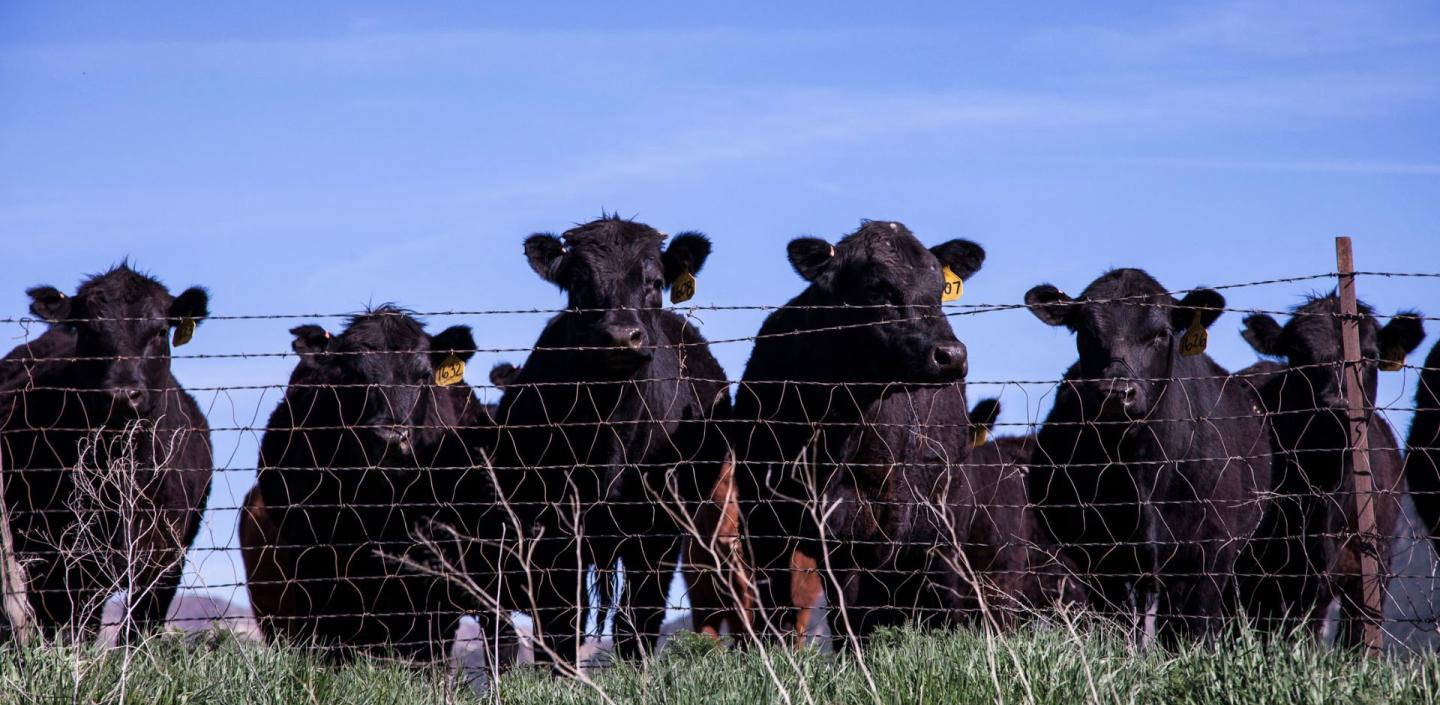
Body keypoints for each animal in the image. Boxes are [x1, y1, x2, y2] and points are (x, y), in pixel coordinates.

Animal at [0, 263, 212, 643]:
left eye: (161, 330)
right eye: (89, 330)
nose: (122, 393)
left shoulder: (165, 561)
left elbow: (139, 629)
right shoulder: (60, 561)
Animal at [487, 215, 731, 666]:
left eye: (655, 281)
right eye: (579, 283)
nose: (620, 336)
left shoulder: (656, 530)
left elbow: (639, 617)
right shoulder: (556, 528)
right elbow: (562, 619)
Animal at [729, 219, 1065, 643]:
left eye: (939, 288)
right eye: (877, 287)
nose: (951, 355)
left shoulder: (864, 532)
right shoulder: (763, 519)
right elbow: (778, 613)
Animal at [1023, 268, 1272, 642]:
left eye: (1161, 333)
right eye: (1086, 332)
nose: (1116, 392)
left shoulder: (1214, 548)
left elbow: (1199, 625)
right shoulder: (1103, 555)